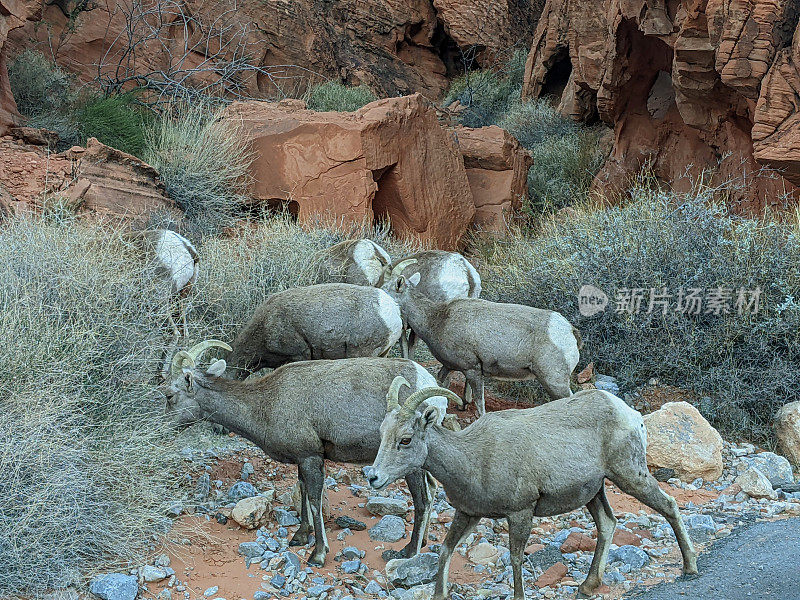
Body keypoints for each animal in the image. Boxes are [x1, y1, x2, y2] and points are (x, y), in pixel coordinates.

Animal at [163, 344, 460, 564]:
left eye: (168, 395)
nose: (162, 430)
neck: (264, 404)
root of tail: (429, 384)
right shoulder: (303, 459)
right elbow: (303, 490)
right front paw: (299, 537)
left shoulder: (310, 458)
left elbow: (315, 500)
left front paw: (317, 555)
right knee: (432, 491)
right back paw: (422, 542)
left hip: (410, 466)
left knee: (423, 501)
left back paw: (409, 552)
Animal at [366, 382, 696, 596]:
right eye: (382, 433)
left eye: (406, 439)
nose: (373, 478)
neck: (475, 458)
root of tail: (631, 414)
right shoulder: (468, 513)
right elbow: (446, 550)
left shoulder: (521, 512)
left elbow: (515, 559)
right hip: (593, 491)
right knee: (607, 523)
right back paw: (587, 587)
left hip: (630, 476)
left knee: (669, 505)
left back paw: (690, 568)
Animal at [384, 274, 580, 414]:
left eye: (386, 289)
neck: (436, 320)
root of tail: (569, 330)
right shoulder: (450, 367)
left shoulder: (472, 369)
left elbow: (479, 404)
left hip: (554, 382)